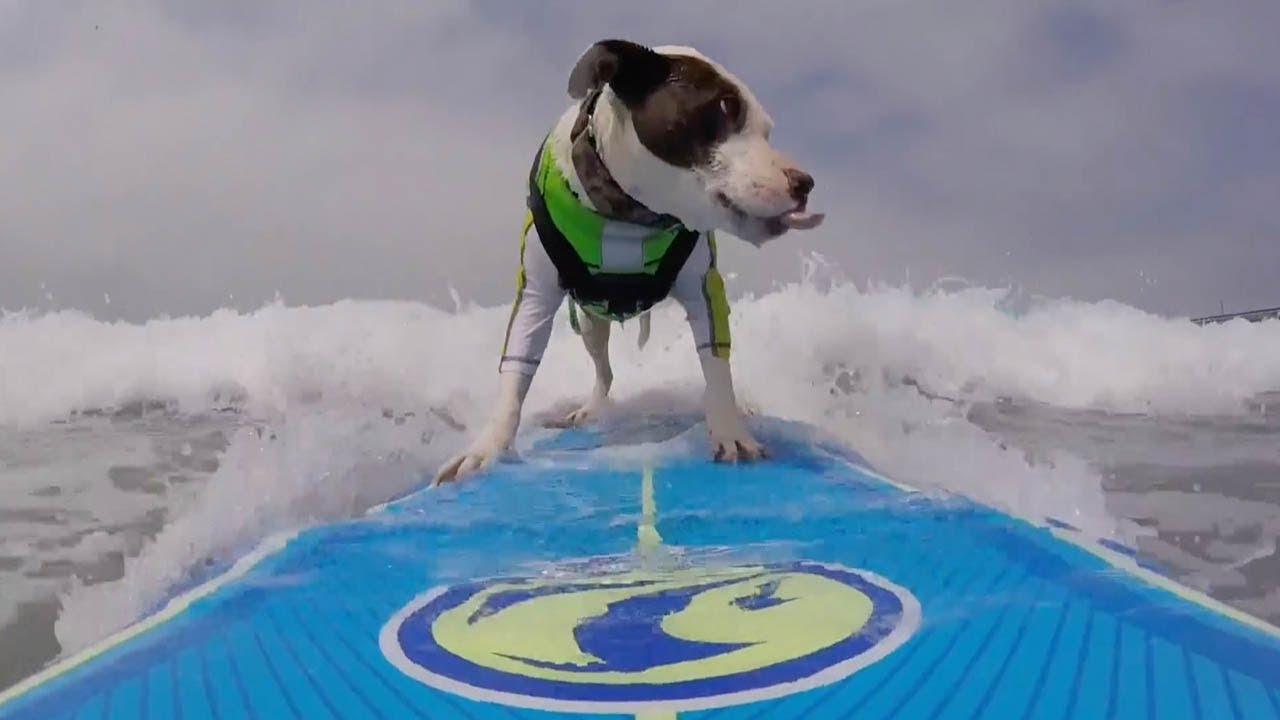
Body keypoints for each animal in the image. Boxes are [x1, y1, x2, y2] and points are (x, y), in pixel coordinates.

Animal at [435, 39, 824, 481]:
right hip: (589, 324)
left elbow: (715, 363)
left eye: (767, 130)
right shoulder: (535, 296)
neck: (629, 213)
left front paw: (729, 430)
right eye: (726, 106)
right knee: (604, 371)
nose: (805, 183)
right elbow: (516, 372)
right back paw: (591, 409)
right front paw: (489, 446)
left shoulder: (705, 290)